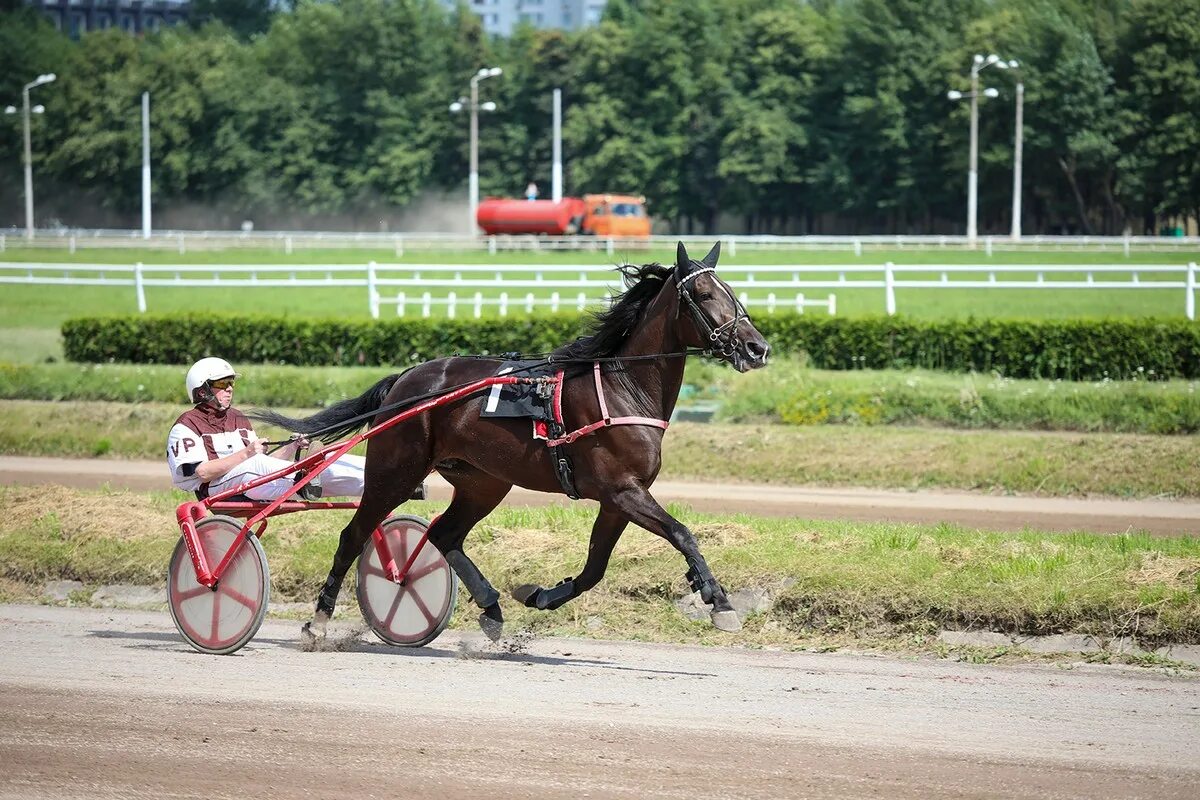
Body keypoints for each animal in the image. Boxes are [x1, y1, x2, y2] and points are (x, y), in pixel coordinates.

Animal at [258, 242, 772, 642]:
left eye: (733, 292)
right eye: (703, 294)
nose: (757, 348)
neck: (622, 386)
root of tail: (407, 377)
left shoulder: (617, 499)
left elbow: (594, 570)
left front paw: (539, 594)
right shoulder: (623, 490)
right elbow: (683, 533)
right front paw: (720, 603)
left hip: (484, 482)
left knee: (444, 534)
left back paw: (489, 607)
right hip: (395, 470)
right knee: (354, 534)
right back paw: (318, 620)